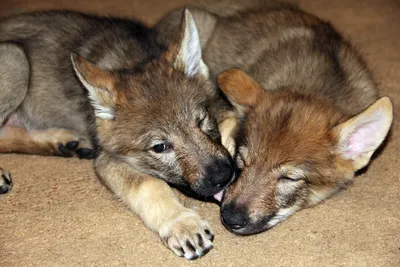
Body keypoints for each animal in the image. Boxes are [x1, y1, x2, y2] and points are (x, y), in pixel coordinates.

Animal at [0, 11, 234, 260]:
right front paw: (181, 223)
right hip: (16, 60)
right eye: (160, 147)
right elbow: (151, 185)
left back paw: (63, 142)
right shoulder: (108, 159)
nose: (223, 175)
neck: (132, 60)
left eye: (201, 121)